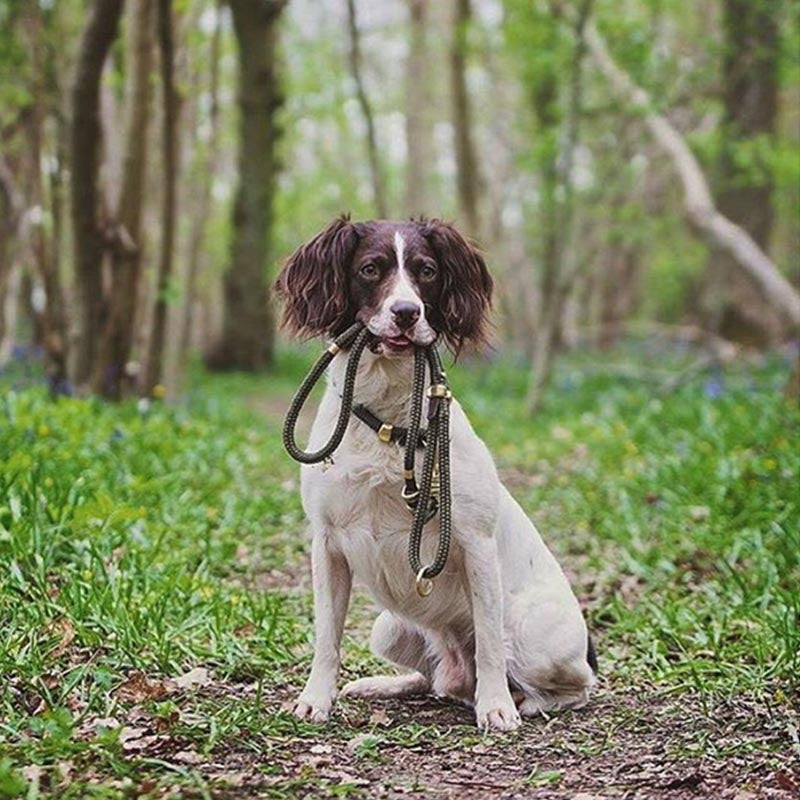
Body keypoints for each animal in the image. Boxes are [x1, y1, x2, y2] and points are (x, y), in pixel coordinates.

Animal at [276, 216, 592, 728]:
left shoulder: (475, 543)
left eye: (426, 271)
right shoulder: (326, 543)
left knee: (571, 685)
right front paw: (316, 699)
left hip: (534, 637)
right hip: (390, 628)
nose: (407, 312)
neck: (390, 424)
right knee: (434, 679)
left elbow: (489, 643)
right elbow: (327, 636)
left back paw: (522, 700)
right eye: (370, 269)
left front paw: (497, 707)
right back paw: (388, 684)